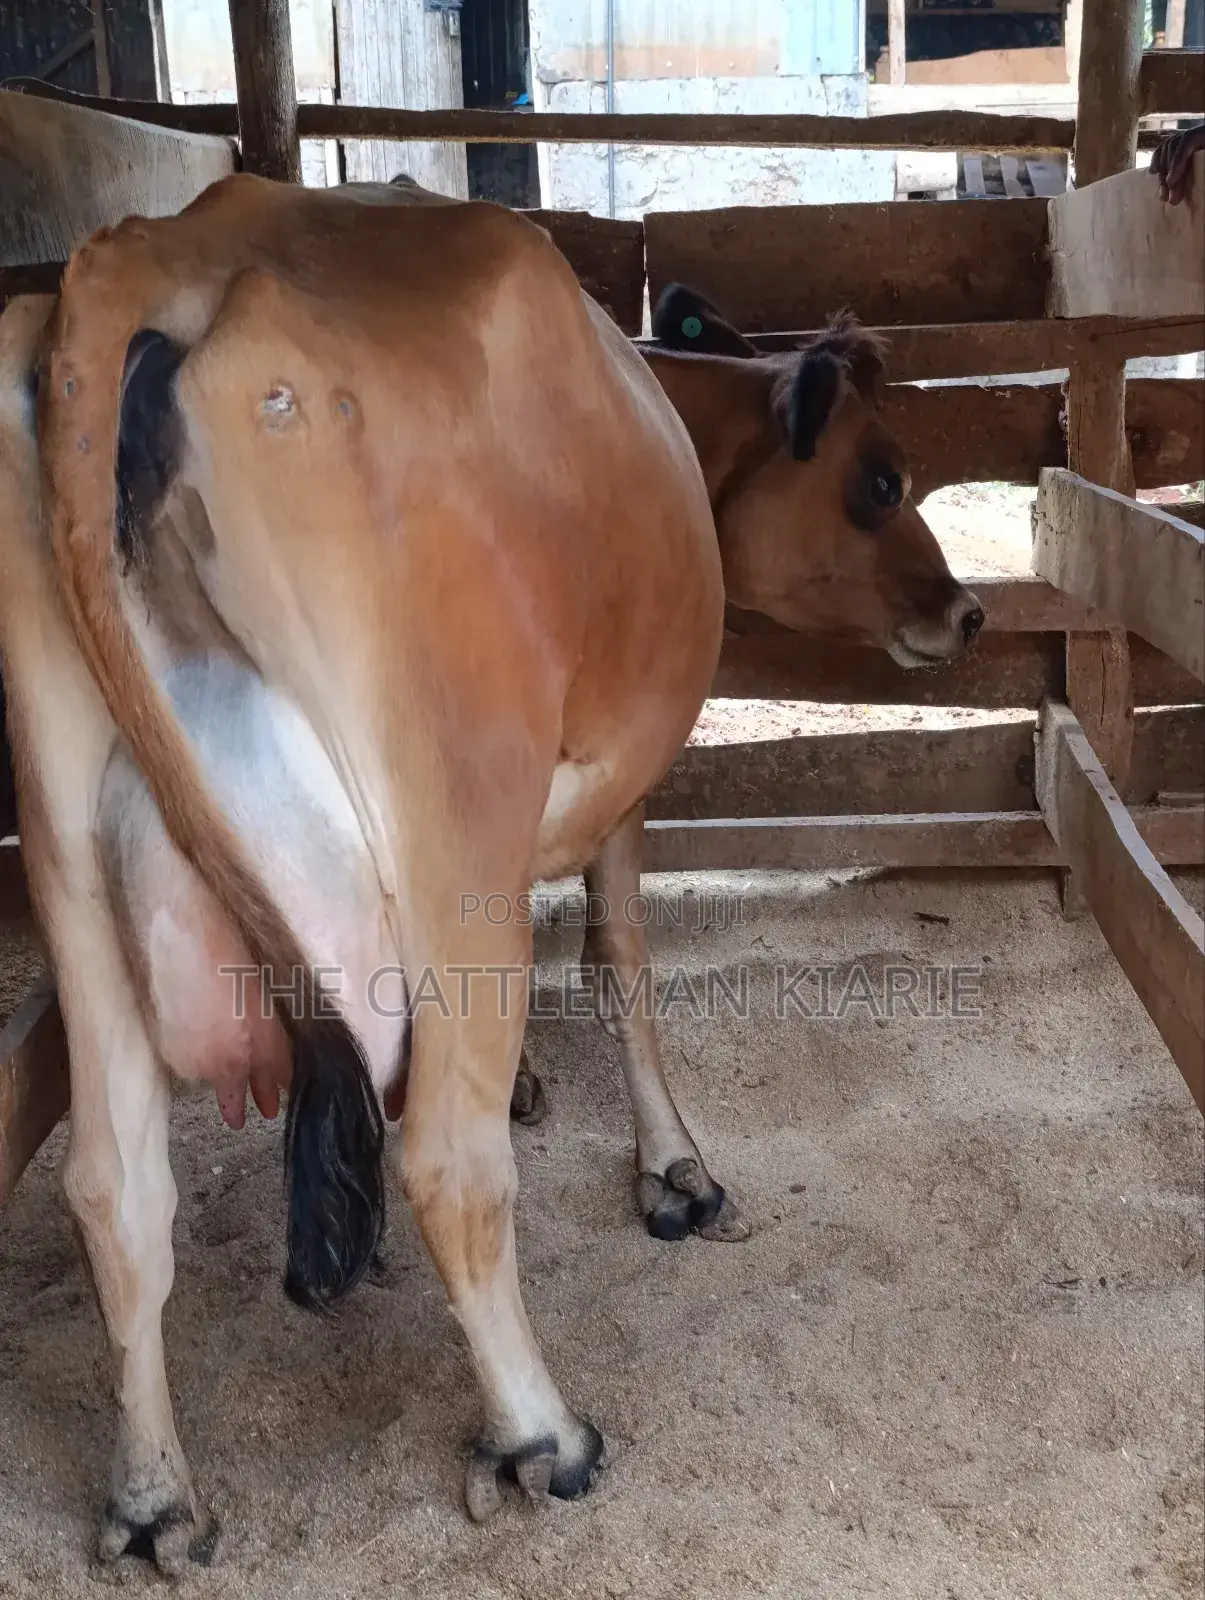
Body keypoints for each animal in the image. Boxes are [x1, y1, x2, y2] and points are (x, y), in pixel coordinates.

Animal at [0, 173, 982, 1570]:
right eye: (879, 475)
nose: (968, 611)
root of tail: (158, 251)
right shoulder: (618, 781)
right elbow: (620, 960)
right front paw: (674, 1170)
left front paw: (528, 1083)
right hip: (449, 820)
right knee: (445, 1166)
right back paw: (540, 1433)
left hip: (71, 855)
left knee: (114, 1189)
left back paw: (151, 1501)